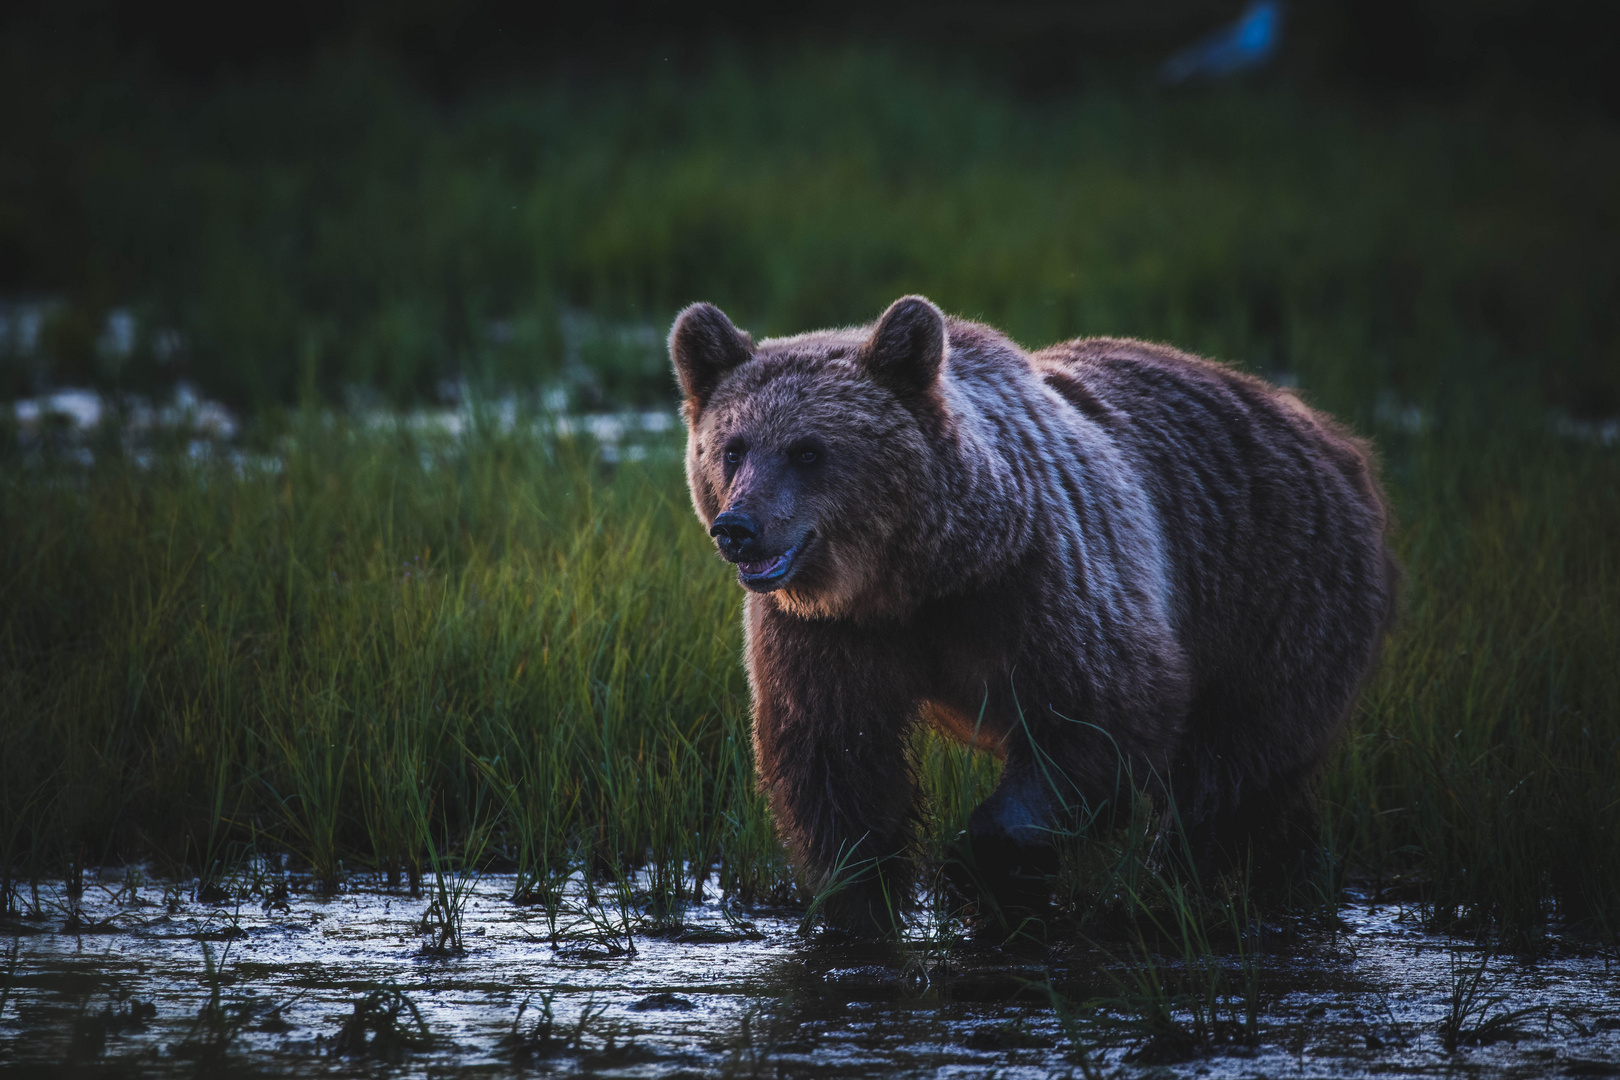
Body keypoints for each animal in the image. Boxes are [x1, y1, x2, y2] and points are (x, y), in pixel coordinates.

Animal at [667, 293, 1393, 932]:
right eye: (732, 447)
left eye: (809, 450)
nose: (739, 529)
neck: (923, 575)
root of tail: (1328, 433)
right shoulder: (832, 633)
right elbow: (836, 760)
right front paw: (863, 904)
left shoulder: (1042, 585)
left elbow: (1099, 717)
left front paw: (978, 870)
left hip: (1275, 597)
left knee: (1229, 771)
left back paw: (1184, 883)